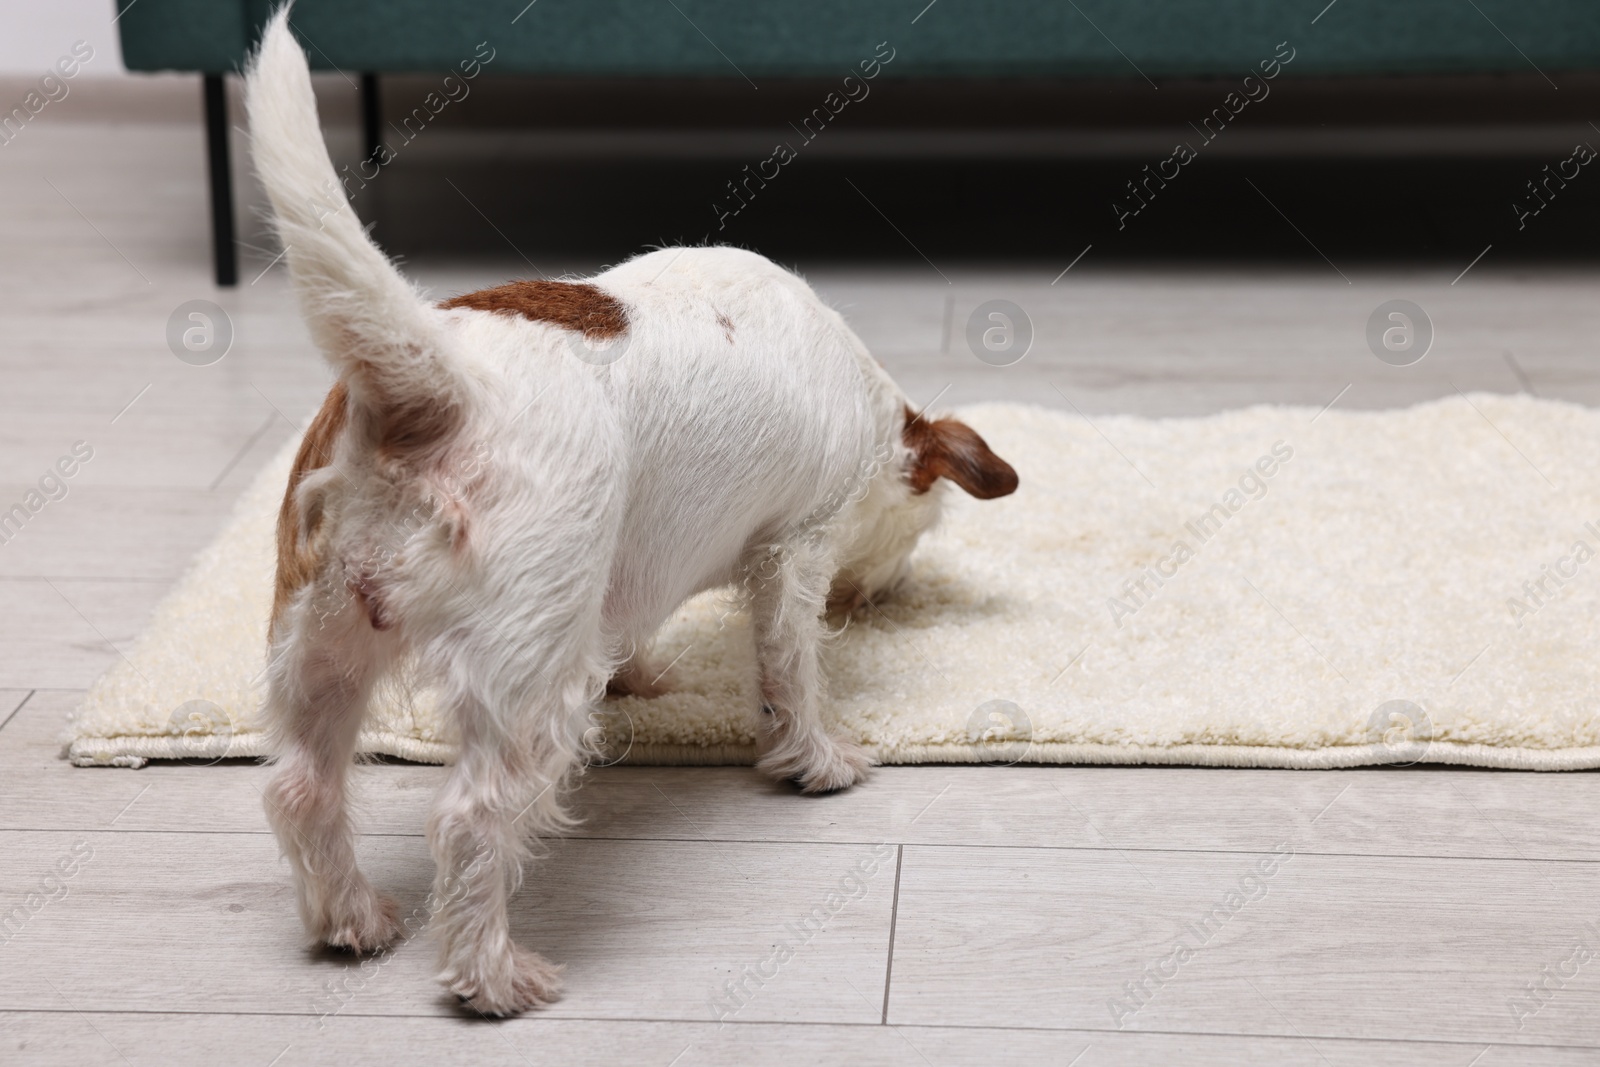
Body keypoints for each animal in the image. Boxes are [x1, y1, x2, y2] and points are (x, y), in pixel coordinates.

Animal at [241, 6, 1011, 1017]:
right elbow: (790, 669)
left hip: (319, 641)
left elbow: (635, 631)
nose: (892, 591)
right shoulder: (795, 551)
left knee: (301, 788)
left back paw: (351, 918)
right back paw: (491, 974)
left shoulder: (635, 569)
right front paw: (817, 757)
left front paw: (641, 677)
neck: (869, 400)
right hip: (526, 674)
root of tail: (438, 387)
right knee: (471, 820)